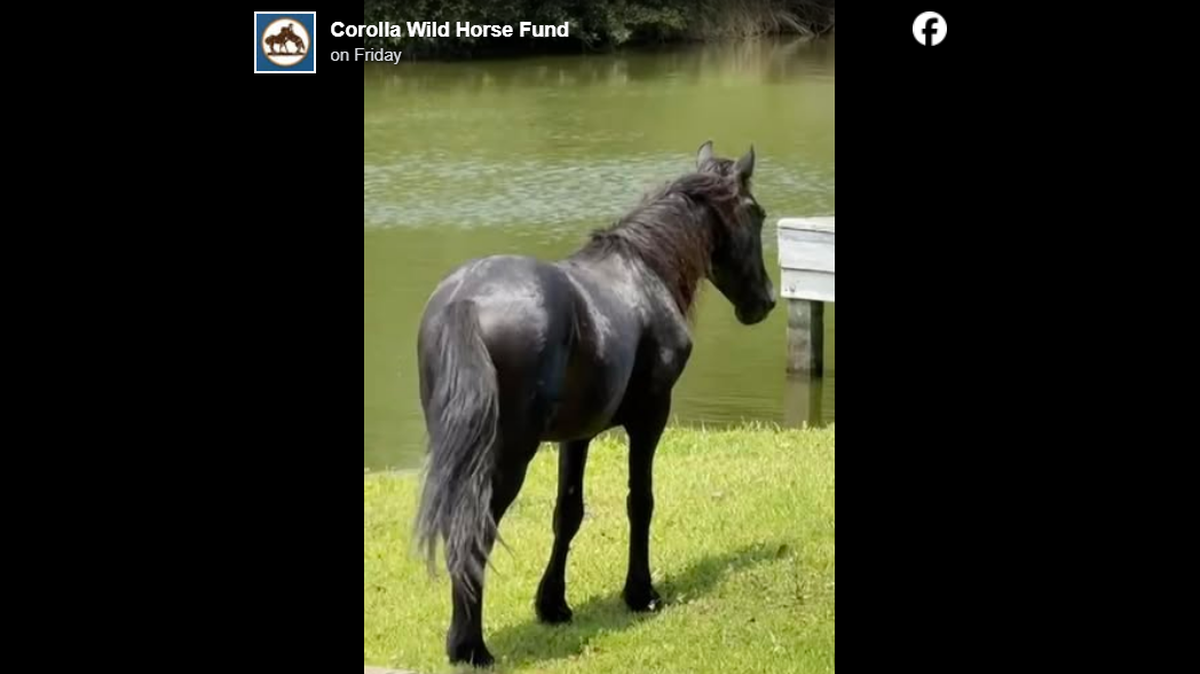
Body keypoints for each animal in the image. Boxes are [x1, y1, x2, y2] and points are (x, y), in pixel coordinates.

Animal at [413, 141, 775, 667]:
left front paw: (553, 605)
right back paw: (471, 647)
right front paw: (641, 593)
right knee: (473, 529)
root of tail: (466, 301)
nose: (765, 303)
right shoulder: (650, 418)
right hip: (508, 457)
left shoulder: (577, 435)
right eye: (757, 213)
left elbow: (568, 513)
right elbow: (640, 501)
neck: (645, 273)